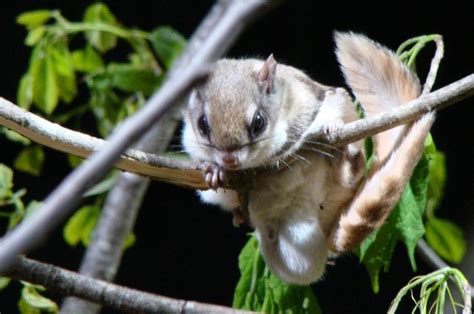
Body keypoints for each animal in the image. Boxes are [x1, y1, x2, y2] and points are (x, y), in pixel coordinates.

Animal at [181, 31, 434, 284]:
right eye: (202, 125)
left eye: (258, 122)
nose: (229, 160)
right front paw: (213, 169)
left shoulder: (303, 107)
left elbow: (289, 142)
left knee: (351, 175)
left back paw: (346, 156)